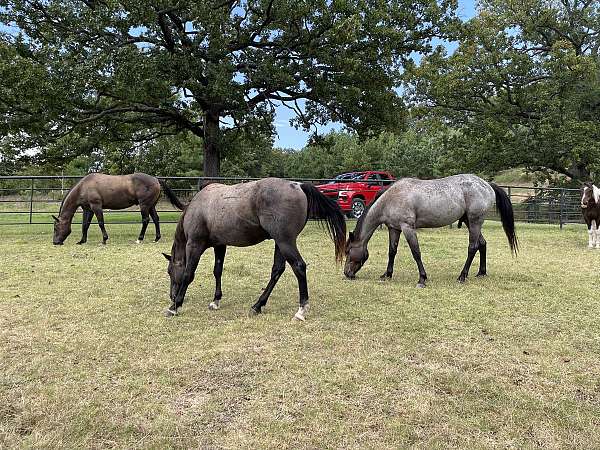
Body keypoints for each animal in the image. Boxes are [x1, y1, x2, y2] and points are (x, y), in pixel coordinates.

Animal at [52, 172, 184, 244]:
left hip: (144, 205)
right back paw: (156, 238)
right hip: (151, 205)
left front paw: (104, 239)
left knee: (146, 220)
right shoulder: (87, 209)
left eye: (56, 227)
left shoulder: (96, 207)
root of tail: (155, 179)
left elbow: (100, 223)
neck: (84, 187)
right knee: (156, 219)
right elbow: (85, 225)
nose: (55, 242)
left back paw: (139, 239)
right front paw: (82, 241)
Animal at [163, 178, 346, 322]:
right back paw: (258, 305)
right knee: (277, 270)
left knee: (299, 266)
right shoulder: (220, 245)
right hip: (280, 243)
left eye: (170, 271)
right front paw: (215, 301)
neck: (199, 206)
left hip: (285, 242)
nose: (172, 295)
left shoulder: (194, 245)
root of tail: (298, 185)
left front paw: (175, 306)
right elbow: (217, 270)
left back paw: (301, 311)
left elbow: (188, 274)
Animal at [344, 174, 516, 286]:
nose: (347, 274)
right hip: (470, 221)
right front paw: (387, 274)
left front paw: (422, 278)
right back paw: (481, 272)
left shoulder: (408, 228)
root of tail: (487, 185)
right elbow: (392, 251)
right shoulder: (394, 229)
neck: (391, 198)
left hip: (474, 221)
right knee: (482, 243)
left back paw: (462, 276)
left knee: (473, 247)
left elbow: (416, 252)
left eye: (348, 251)